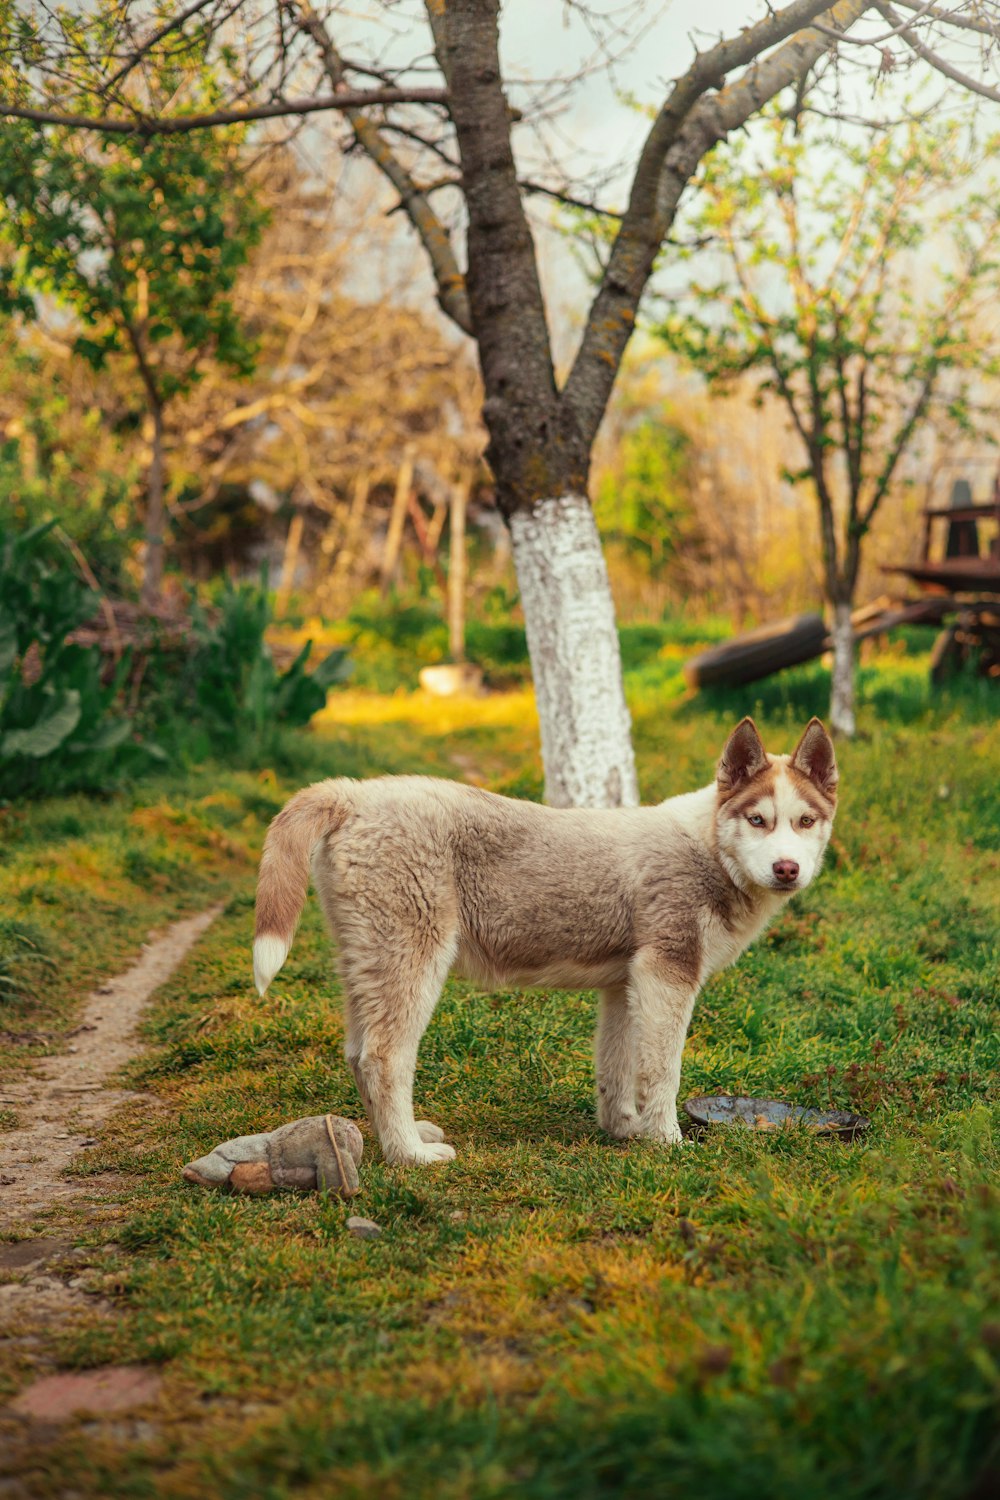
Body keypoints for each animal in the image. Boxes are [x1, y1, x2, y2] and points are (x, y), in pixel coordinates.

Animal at [250, 720, 839, 1164]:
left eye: (806, 821)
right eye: (757, 819)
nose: (787, 869)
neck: (708, 846)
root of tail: (354, 793)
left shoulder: (627, 985)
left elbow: (615, 1066)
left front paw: (623, 1130)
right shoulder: (668, 975)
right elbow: (661, 1072)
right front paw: (668, 1142)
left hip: (368, 962)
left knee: (356, 1054)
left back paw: (406, 1137)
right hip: (412, 962)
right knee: (383, 1058)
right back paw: (410, 1155)